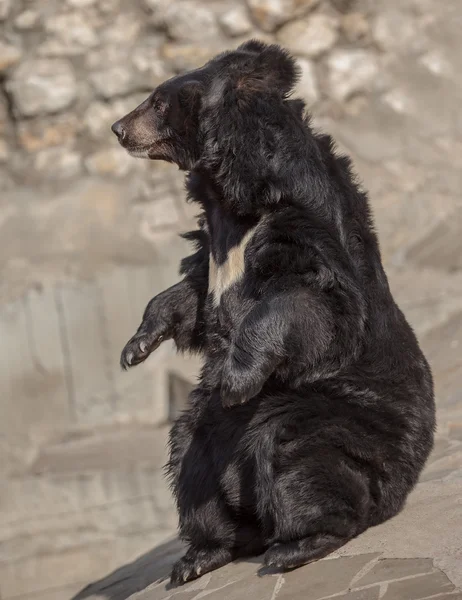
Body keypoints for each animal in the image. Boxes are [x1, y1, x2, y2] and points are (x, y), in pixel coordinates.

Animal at [111, 42, 434, 584]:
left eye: (157, 103)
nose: (118, 128)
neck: (233, 199)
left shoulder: (300, 228)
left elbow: (306, 301)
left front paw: (236, 380)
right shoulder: (214, 250)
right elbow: (189, 294)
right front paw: (135, 348)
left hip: (332, 417)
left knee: (296, 458)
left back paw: (300, 542)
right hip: (208, 432)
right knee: (191, 466)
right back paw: (202, 555)